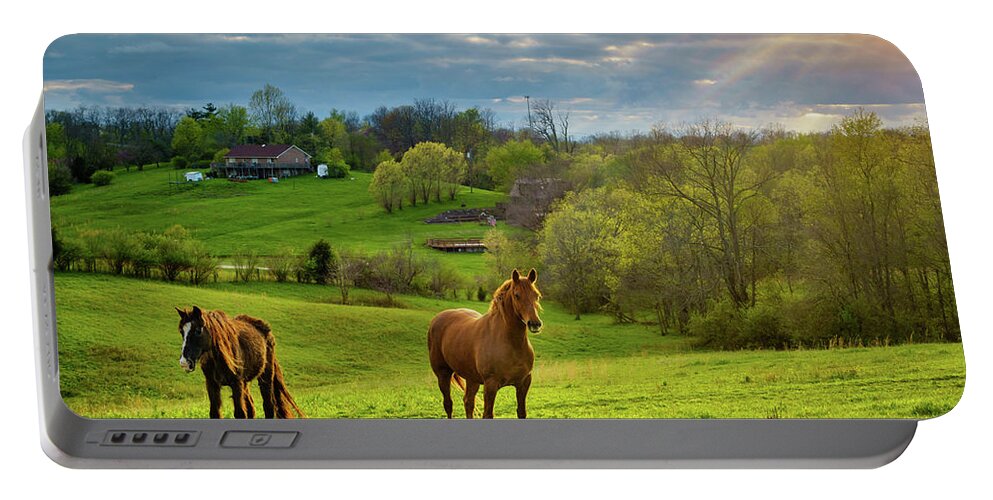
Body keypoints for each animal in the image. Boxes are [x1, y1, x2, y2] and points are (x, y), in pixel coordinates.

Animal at [174, 306, 304, 420]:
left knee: (268, 406)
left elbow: (240, 413)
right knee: (251, 408)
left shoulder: (236, 384)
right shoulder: (212, 384)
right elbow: (215, 413)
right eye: (181, 332)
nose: (184, 362)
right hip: (246, 383)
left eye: (198, 330)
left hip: (265, 377)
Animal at [426, 270, 544, 418]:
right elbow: (488, 414)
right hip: (443, 374)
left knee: (468, 402)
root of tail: (437, 318)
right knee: (448, 404)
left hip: (472, 378)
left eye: (537, 295)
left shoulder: (523, 383)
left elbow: (521, 412)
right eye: (517, 295)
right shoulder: (490, 385)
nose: (535, 324)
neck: (511, 344)